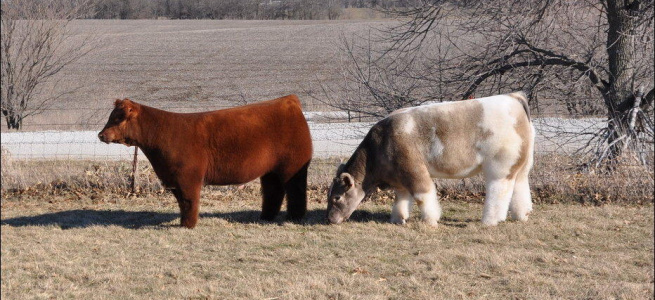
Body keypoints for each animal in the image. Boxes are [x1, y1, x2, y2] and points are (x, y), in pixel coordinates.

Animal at [97, 95, 312, 229]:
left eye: (118, 118)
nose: (100, 134)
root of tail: (289, 101)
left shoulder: (188, 177)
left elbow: (190, 201)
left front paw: (189, 225)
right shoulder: (174, 179)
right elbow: (182, 202)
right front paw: (184, 223)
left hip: (293, 166)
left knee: (296, 191)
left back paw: (295, 217)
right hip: (270, 171)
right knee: (273, 191)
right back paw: (266, 217)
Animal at [326, 92, 536, 226]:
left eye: (337, 197)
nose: (329, 219)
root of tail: (513, 97)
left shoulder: (414, 170)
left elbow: (423, 196)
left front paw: (430, 220)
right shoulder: (399, 178)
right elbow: (401, 198)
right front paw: (398, 219)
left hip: (499, 166)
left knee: (499, 191)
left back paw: (489, 221)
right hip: (521, 165)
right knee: (520, 186)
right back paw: (522, 215)